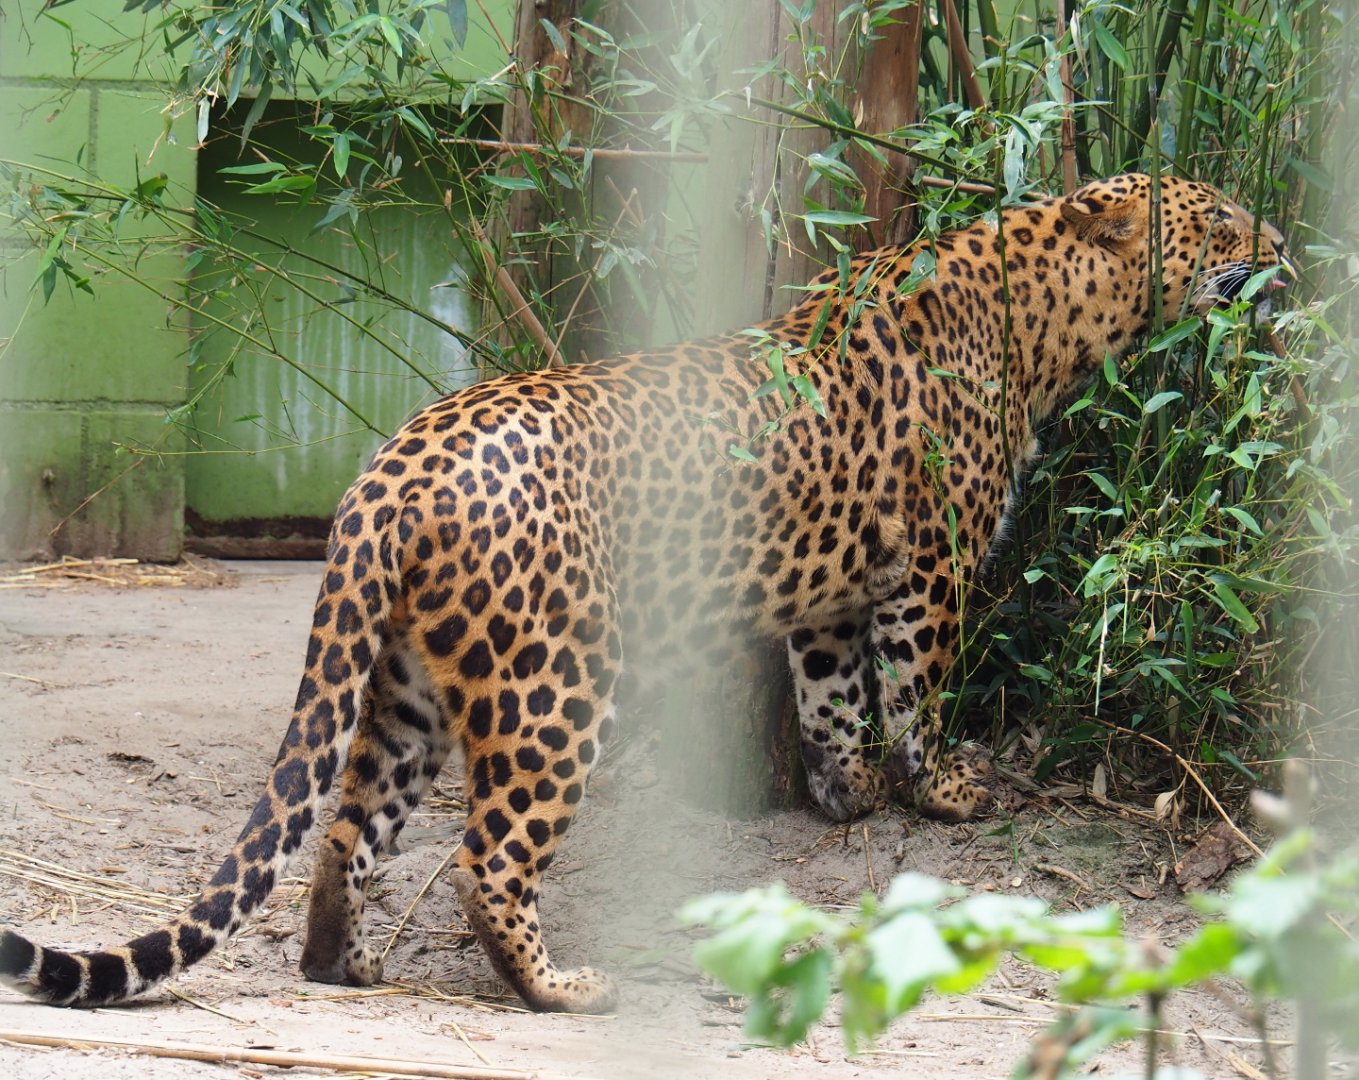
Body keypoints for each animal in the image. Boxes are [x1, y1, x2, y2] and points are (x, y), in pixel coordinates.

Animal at [0, 173, 1290, 1016]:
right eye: (1222, 217)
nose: (1282, 244)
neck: (1045, 317)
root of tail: (390, 469)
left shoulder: (829, 592)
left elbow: (833, 697)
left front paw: (846, 795)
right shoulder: (928, 567)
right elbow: (915, 691)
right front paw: (946, 794)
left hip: (406, 684)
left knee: (348, 831)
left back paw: (343, 963)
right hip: (551, 686)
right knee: (485, 855)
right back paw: (561, 988)